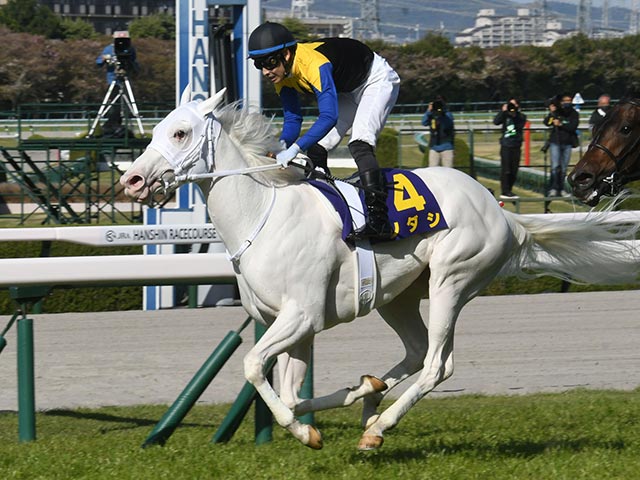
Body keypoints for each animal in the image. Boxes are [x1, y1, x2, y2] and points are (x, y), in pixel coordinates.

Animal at [120, 88, 640, 452]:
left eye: (180, 133)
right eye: (156, 130)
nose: (133, 180)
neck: (261, 215)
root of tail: (501, 213)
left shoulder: (300, 317)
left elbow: (253, 367)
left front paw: (305, 432)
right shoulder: (287, 324)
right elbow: (290, 391)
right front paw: (341, 404)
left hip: (453, 279)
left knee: (437, 364)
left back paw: (379, 428)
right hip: (399, 295)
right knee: (416, 352)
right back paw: (371, 399)